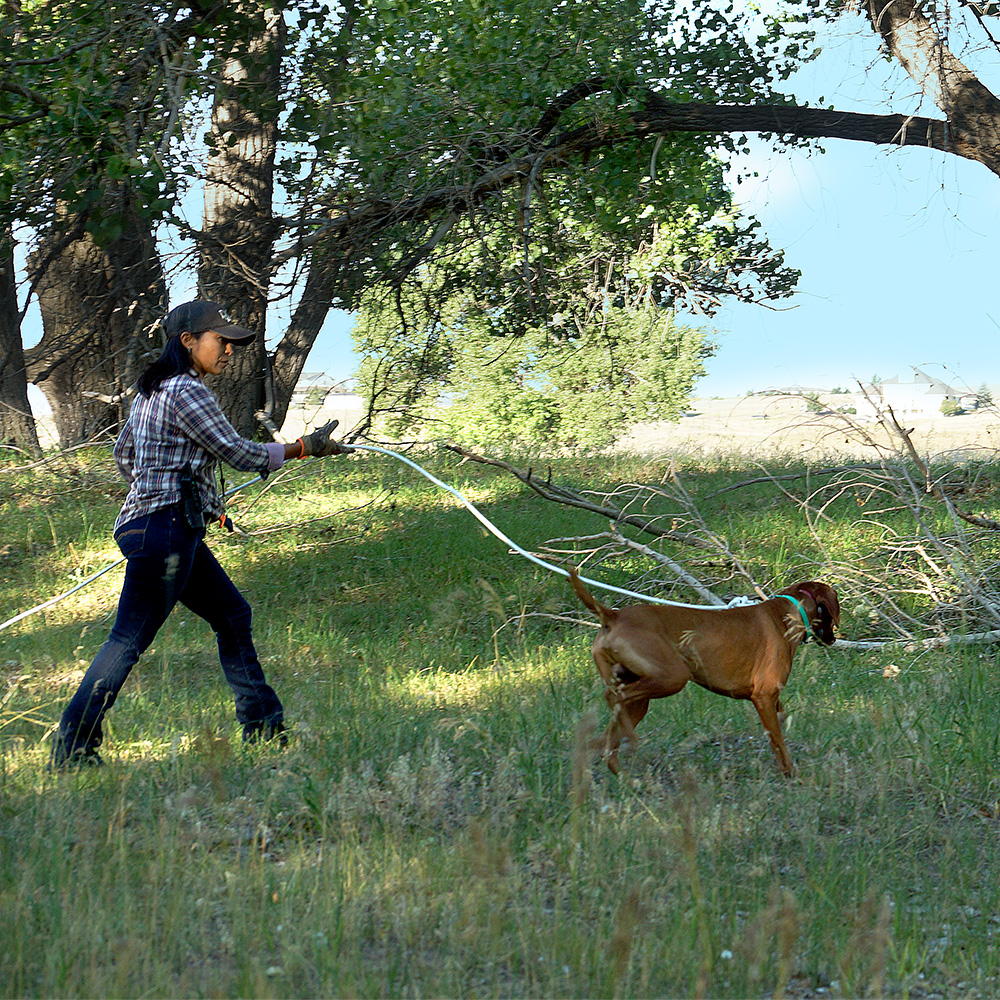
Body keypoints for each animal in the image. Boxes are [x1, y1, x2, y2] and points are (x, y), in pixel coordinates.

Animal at [568, 572, 840, 772]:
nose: (834, 639)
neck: (788, 612)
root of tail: (613, 616)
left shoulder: (771, 699)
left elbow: (781, 720)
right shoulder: (763, 696)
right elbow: (779, 743)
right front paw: (791, 773)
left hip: (640, 699)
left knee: (612, 731)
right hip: (673, 677)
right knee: (613, 697)